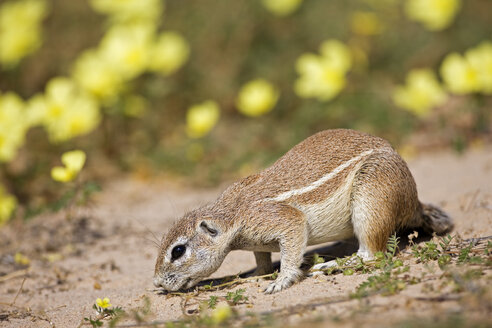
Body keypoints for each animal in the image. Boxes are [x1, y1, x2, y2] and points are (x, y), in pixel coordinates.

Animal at [154, 128, 454, 292]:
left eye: (177, 251)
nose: (156, 283)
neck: (232, 215)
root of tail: (414, 201)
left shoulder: (279, 219)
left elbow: (293, 237)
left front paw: (281, 280)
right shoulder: (257, 240)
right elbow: (261, 259)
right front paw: (255, 274)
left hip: (372, 198)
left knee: (373, 255)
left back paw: (332, 264)